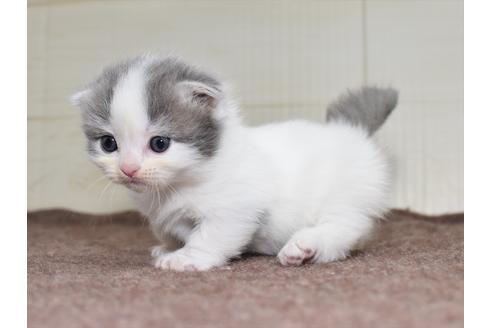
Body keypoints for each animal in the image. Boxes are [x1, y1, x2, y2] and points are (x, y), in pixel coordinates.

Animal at [72, 55, 396, 272]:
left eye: (159, 144)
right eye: (108, 144)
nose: (128, 169)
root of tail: (351, 130)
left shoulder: (237, 208)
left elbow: (212, 235)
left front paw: (186, 258)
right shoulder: (167, 217)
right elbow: (175, 229)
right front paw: (169, 246)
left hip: (346, 194)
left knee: (348, 227)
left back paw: (306, 247)